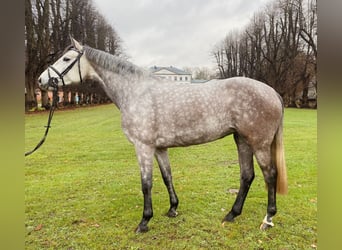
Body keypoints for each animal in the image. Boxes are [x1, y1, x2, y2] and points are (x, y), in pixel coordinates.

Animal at [37, 37, 288, 232]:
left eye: (66, 59)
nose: (41, 80)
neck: (136, 92)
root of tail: (272, 92)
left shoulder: (143, 147)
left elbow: (146, 183)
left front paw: (144, 221)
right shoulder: (159, 148)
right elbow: (167, 176)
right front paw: (173, 209)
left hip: (259, 143)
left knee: (269, 175)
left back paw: (267, 219)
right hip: (242, 140)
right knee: (247, 176)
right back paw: (232, 214)